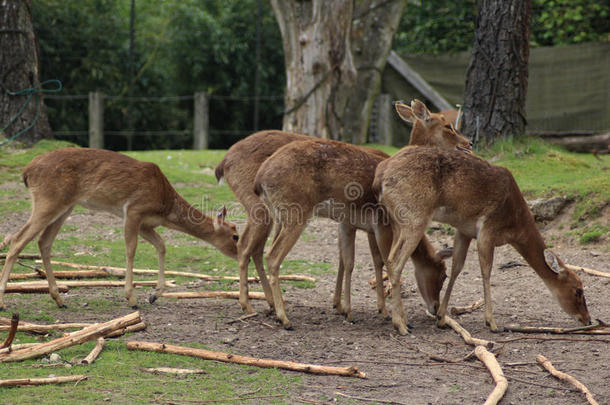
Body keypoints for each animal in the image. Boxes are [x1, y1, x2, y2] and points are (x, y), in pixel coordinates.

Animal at [0, 147, 238, 308]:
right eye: (236, 235)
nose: (239, 254)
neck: (164, 205)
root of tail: (27, 171)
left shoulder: (146, 224)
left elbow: (162, 245)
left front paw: (154, 294)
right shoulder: (133, 210)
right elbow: (131, 249)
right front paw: (131, 298)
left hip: (64, 206)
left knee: (44, 241)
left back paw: (59, 299)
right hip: (48, 200)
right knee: (18, 239)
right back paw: (3, 301)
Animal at [215, 98, 470, 326]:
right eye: (448, 125)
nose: (468, 144)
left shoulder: (349, 223)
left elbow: (347, 260)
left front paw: (343, 307)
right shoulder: (382, 223)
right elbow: (381, 261)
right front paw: (386, 313)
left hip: (274, 214)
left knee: (255, 248)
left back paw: (265, 305)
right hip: (287, 213)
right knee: (265, 252)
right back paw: (279, 316)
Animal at [370, 145, 588, 332]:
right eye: (578, 290)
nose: (588, 319)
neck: (514, 225)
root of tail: (380, 175)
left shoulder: (464, 231)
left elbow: (457, 267)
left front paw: (441, 318)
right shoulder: (487, 229)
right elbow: (486, 271)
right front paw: (491, 322)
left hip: (397, 222)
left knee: (389, 258)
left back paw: (403, 320)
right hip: (415, 219)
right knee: (395, 261)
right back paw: (400, 325)